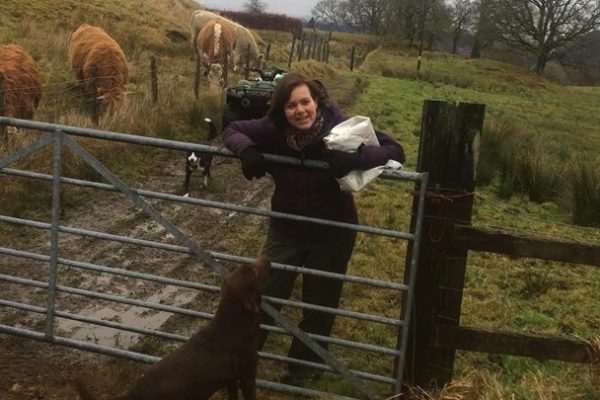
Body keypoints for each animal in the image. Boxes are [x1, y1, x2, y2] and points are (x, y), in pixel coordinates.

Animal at [74, 256, 270, 400]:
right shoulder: (247, 374)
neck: (233, 322)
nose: (267, 258)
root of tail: (133, 393)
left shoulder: (231, 379)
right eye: (253, 271)